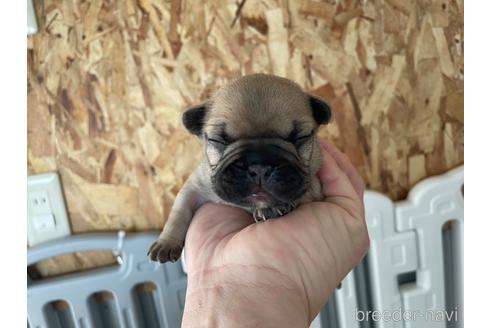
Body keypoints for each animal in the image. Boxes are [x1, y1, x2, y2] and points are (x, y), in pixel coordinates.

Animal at [146, 74, 330, 264]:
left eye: (300, 137)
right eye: (217, 140)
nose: (259, 165)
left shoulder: (315, 188)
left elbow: (305, 195)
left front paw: (273, 208)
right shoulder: (194, 187)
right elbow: (179, 212)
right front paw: (166, 242)